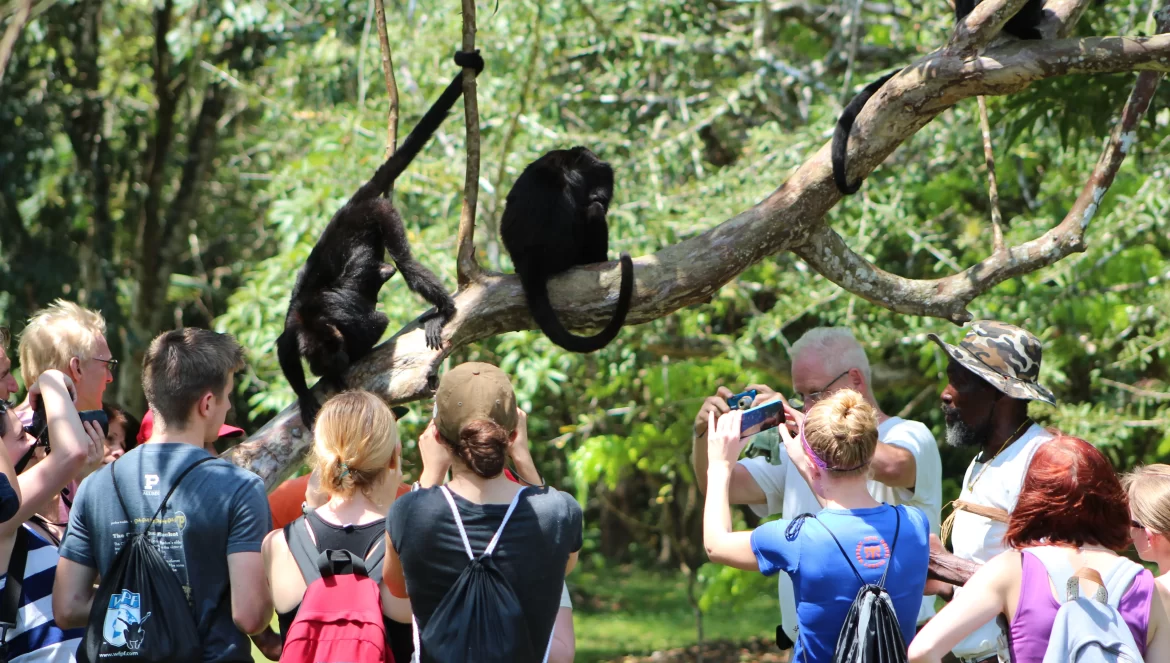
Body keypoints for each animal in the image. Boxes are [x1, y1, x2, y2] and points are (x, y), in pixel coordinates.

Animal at [278, 50, 484, 424]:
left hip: (380, 212)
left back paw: (444, 310)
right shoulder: (290, 334)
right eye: (325, 359)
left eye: (337, 354)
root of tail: (350, 207)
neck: (313, 321)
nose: (338, 363)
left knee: (405, 262)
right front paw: (304, 392)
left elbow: (377, 323)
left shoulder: (345, 320)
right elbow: (284, 354)